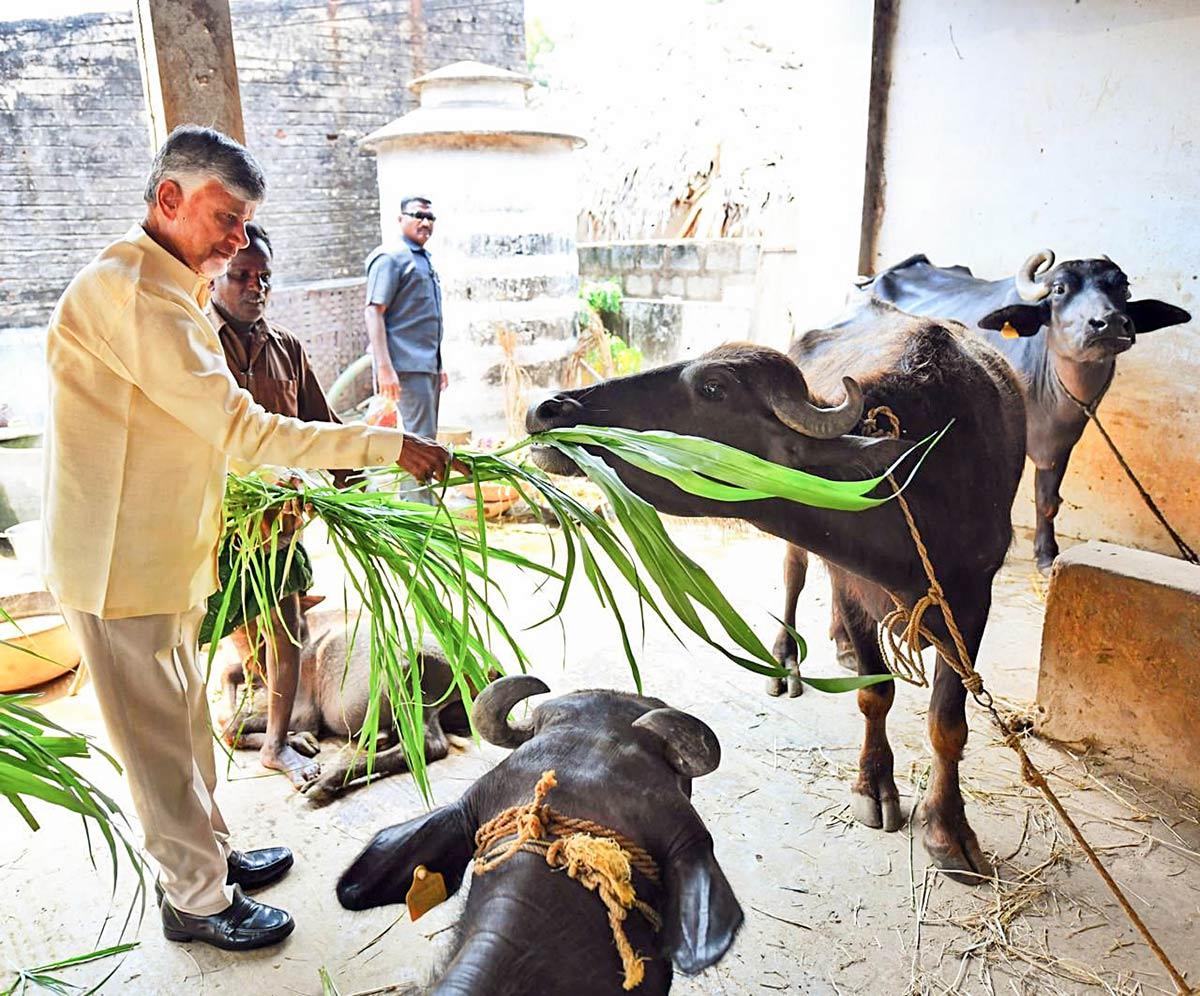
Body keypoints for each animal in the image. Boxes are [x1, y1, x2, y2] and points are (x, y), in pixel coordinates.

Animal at [525, 299, 1026, 882]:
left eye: (714, 388)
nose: (548, 407)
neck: (917, 486)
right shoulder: (849, 581)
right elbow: (875, 695)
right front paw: (874, 784)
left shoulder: (971, 597)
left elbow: (947, 723)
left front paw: (948, 830)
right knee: (793, 575)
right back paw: (788, 658)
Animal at [862, 250, 1190, 571]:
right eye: (1059, 289)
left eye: (1122, 288)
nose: (1108, 323)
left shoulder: (1060, 446)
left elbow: (1047, 500)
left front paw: (1045, 554)